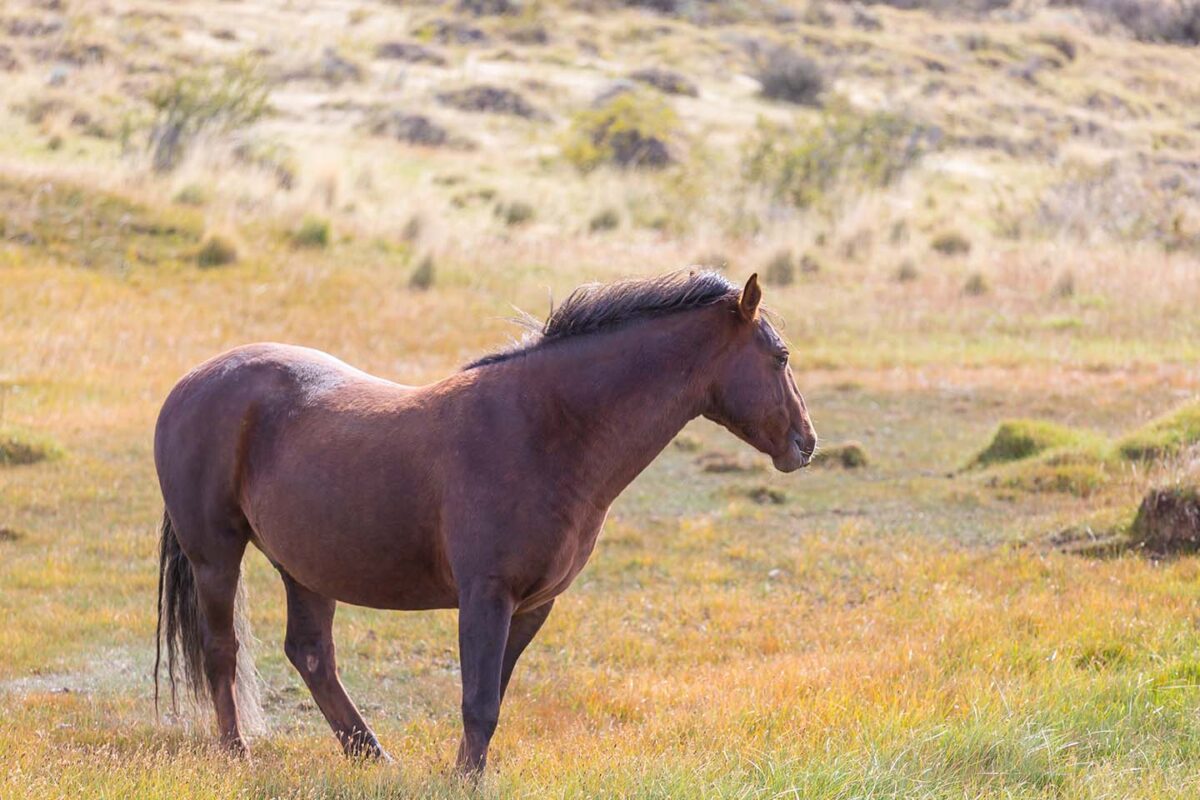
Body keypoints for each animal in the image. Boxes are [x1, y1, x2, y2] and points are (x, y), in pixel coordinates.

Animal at [153, 270, 817, 773]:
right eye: (780, 356)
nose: (806, 444)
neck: (545, 428)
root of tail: (191, 383)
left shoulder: (532, 605)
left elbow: (491, 697)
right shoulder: (486, 596)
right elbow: (478, 703)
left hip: (306, 566)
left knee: (312, 655)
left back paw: (372, 757)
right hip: (217, 558)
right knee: (222, 651)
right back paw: (237, 755)